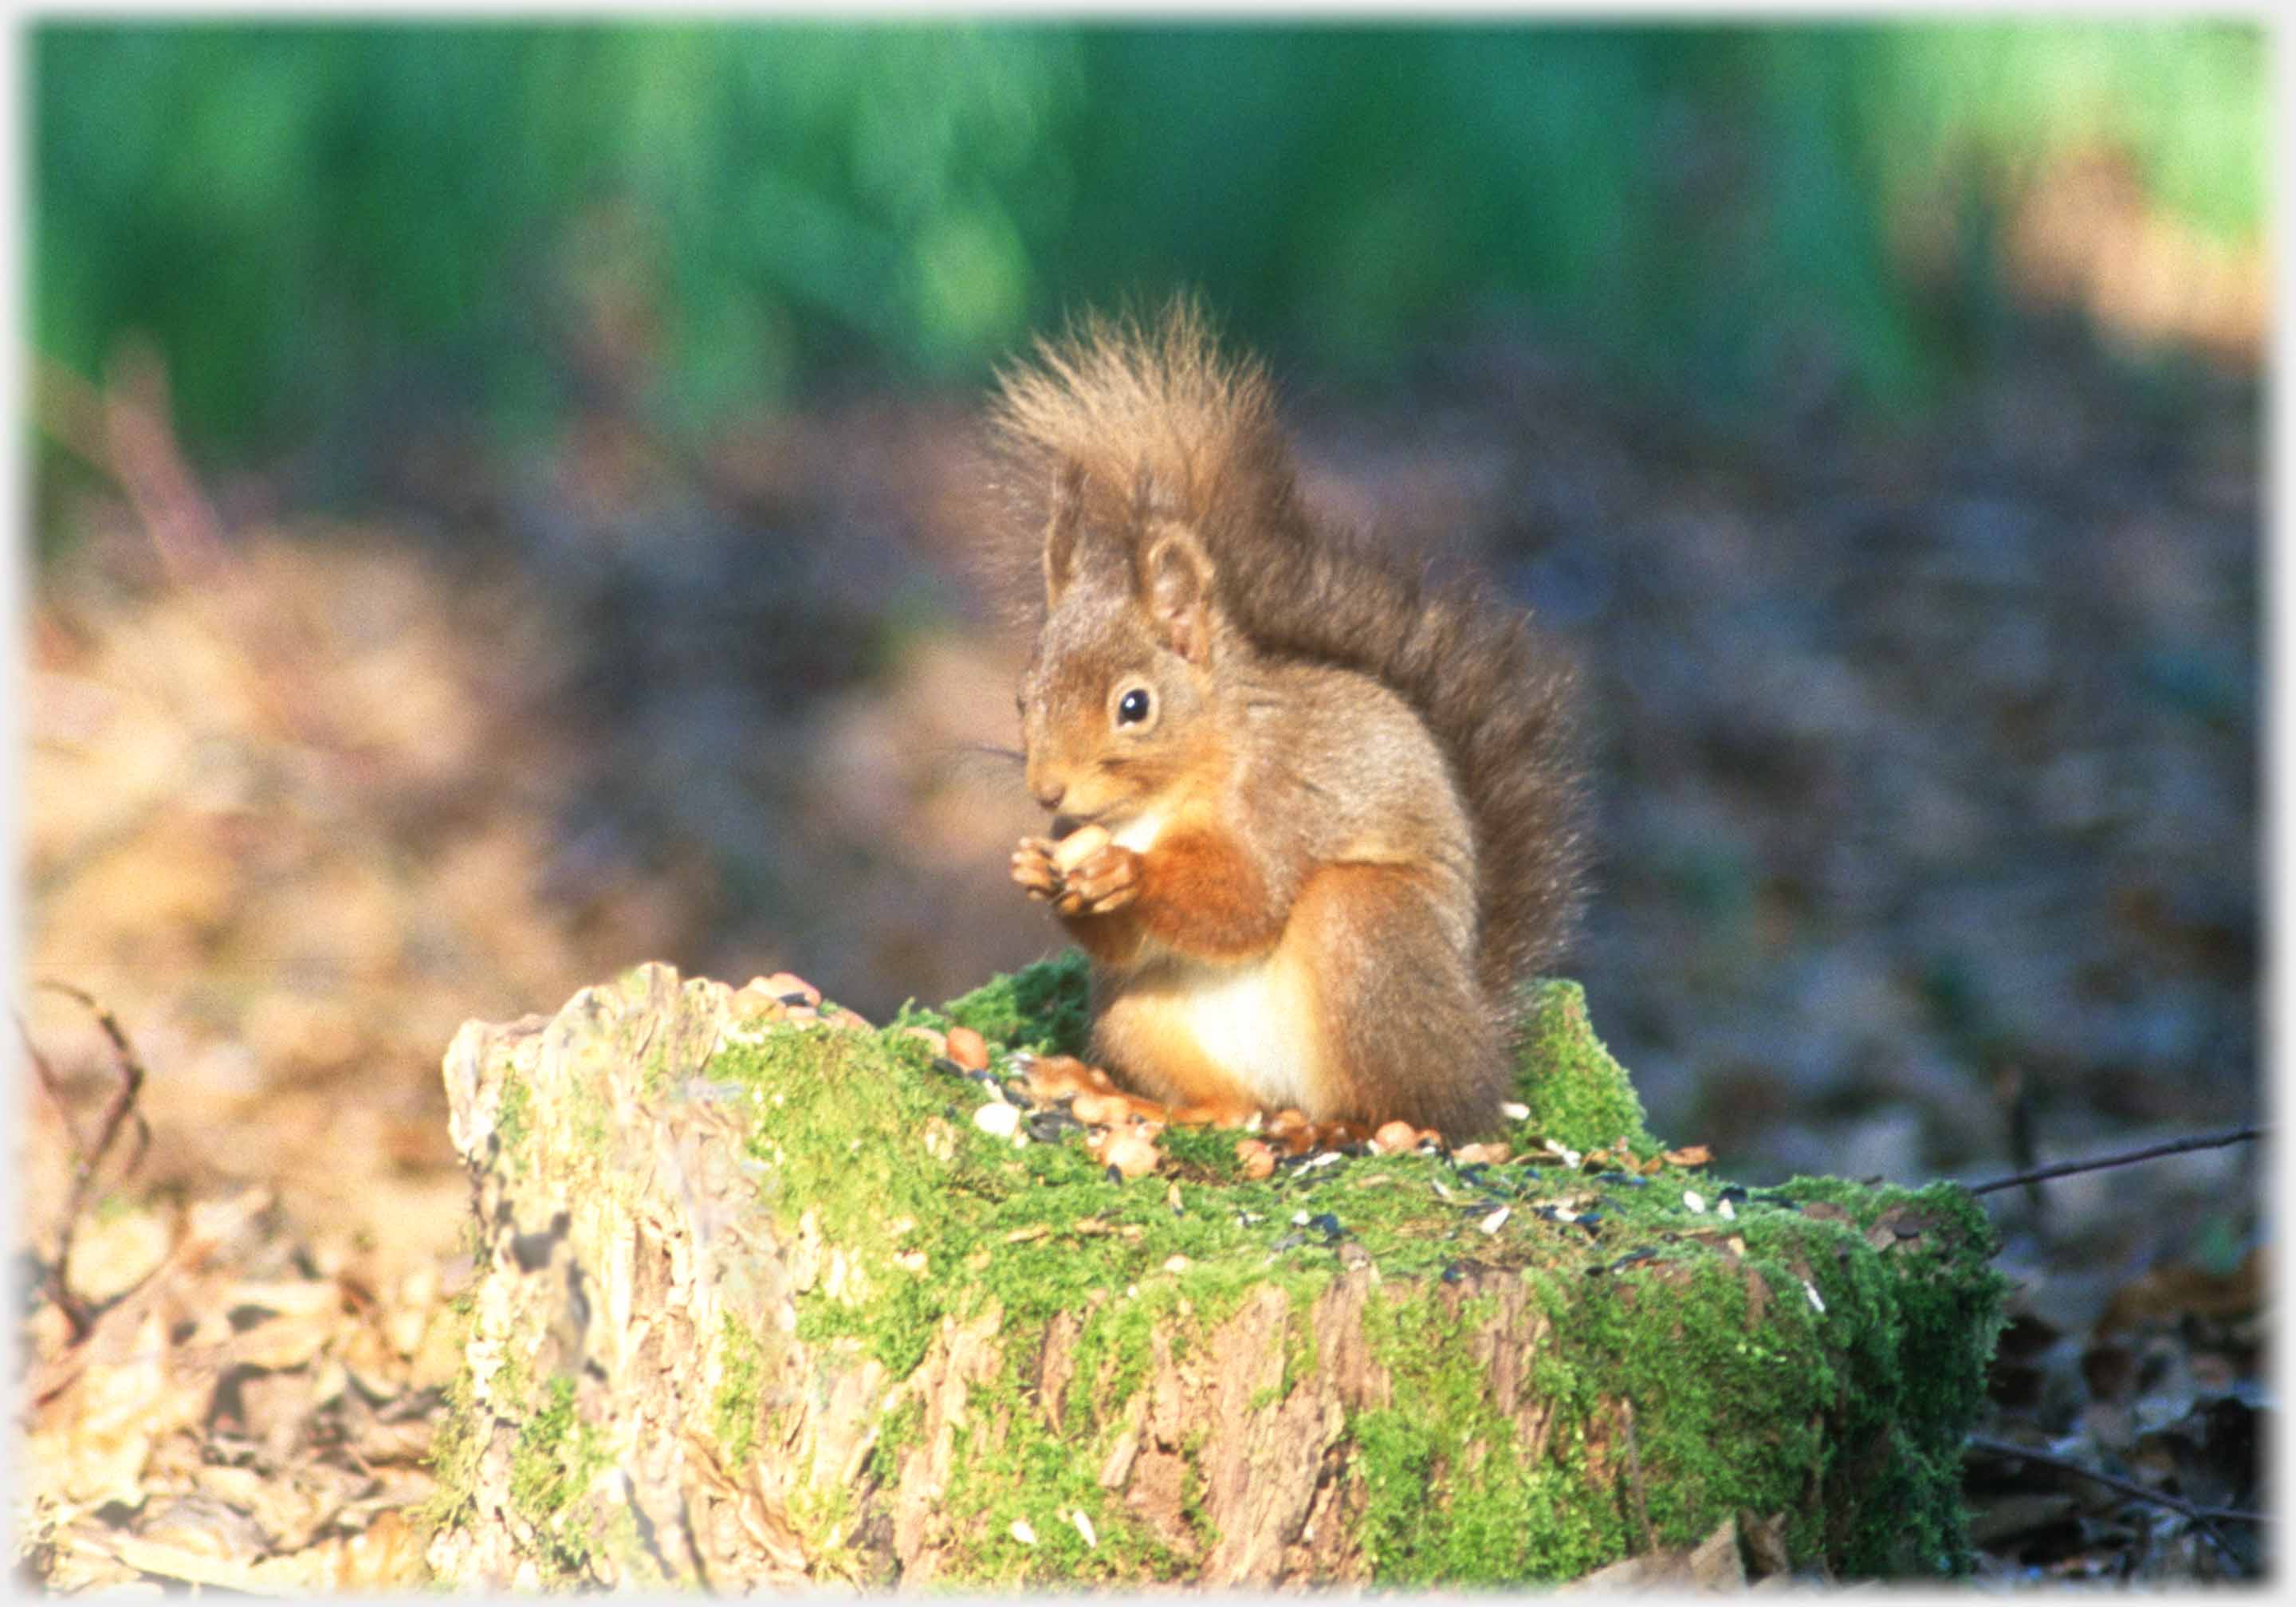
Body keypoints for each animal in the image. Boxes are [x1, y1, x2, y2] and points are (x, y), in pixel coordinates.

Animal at [989, 303, 1585, 1140]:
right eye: (1023, 696)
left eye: (1134, 706)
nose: (1047, 792)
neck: (1154, 804)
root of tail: (1479, 1051)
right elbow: (1129, 941)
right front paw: (1037, 872)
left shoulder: (1275, 800)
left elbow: (1247, 900)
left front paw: (1127, 874)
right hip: (1138, 1014)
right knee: (1228, 1108)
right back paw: (1116, 1095)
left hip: (1363, 930)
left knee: (1408, 1108)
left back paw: (1345, 1126)